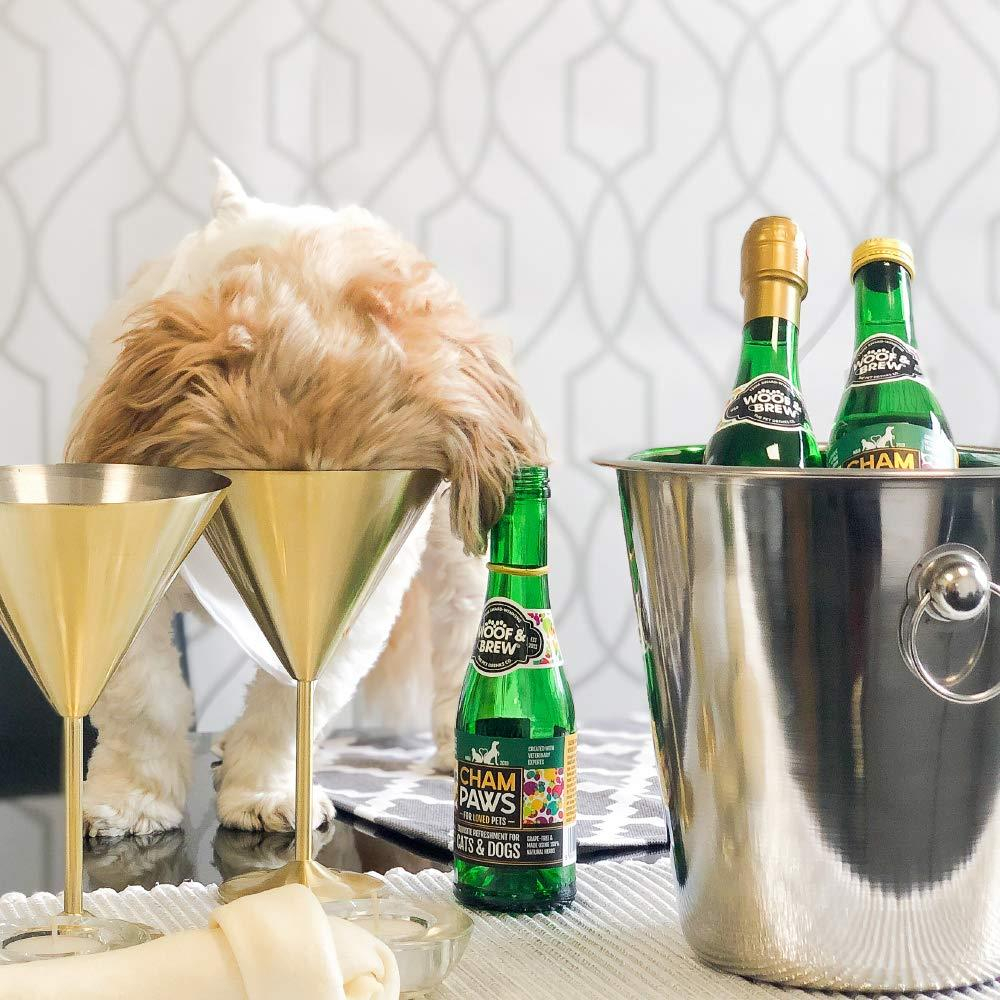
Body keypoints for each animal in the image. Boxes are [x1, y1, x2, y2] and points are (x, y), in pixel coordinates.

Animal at [67, 161, 545, 836]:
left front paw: (265, 792)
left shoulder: (354, 610)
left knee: (462, 640)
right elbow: (146, 701)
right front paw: (131, 797)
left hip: (461, 566)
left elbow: (286, 705)